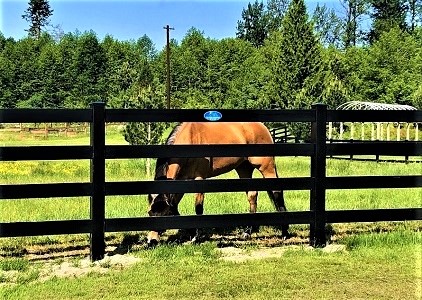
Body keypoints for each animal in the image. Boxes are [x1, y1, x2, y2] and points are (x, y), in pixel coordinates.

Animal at [147, 122, 288, 244]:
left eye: (163, 214)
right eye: (149, 213)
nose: (151, 241)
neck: (190, 139)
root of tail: (262, 126)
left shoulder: (199, 179)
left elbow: (198, 207)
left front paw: (196, 237)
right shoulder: (181, 181)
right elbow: (175, 206)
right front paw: (192, 233)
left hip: (267, 167)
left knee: (277, 193)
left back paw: (285, 233)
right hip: (244, 168)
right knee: (252, 195)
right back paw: (247, 232)